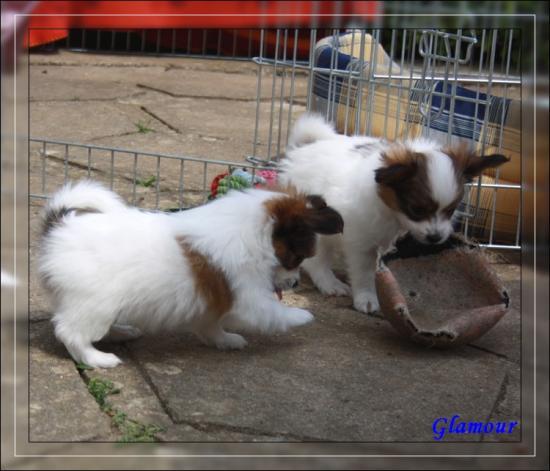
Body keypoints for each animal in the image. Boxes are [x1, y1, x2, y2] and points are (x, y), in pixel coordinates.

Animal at [37, 181, 344, 368]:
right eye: (296, 258)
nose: (294, 283)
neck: (254, 234)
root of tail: (60, 228)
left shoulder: (212, 303)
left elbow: (211, 325)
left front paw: (225, 340)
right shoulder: (248, 298)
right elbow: (272, 312)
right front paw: (303, 316)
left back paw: (122, 332)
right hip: (95, 302)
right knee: (71, 333)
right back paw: (97, 358)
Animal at [282, 114, 512, 314]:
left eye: (451, 210)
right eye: (416, 209)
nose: (435, 238)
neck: (393, 214)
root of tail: (305, 147)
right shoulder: (361, 241)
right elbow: (364, 272)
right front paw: (367, 298)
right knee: (315, 259)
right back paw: (329, 283)